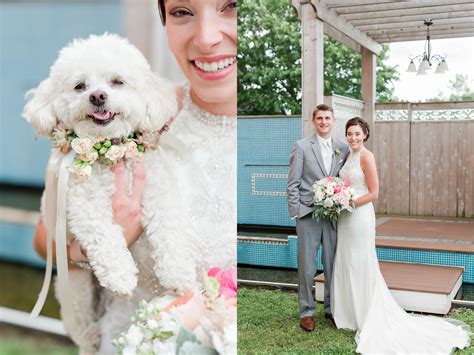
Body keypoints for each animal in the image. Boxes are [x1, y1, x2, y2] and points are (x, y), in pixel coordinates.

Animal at [23, 35, 178, 348]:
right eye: (80, 86)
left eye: (117, 82)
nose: (97, 97)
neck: (111, 154)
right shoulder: (84, 203)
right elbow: (104, 235)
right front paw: (121, 276)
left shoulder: (156, 190)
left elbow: (167, 228)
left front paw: (177, 271)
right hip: (75, 287)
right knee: (83, 327)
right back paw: (90, 337)